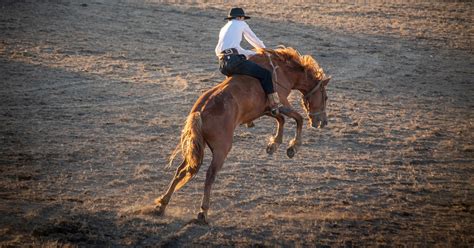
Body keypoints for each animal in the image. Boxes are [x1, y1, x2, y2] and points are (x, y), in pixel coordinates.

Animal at [152, 46, 330, 223]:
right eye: (326, 97)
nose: (322, 122)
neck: (281, 71)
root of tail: (199, 112)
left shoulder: (265, 109)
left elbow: (281, 119)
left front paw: (273, 145)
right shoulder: (281, 103)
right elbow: (298, 118)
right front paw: (293, 147)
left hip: (198, 146)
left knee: (182, 170)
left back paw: (162, 205)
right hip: (221, 149)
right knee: (210, 175)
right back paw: (203, 211)